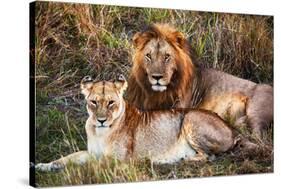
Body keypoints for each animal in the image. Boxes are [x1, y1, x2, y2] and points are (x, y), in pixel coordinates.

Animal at [35, 75, 252, 171]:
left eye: (111, 102)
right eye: (94, 102)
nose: (102, 120)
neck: (99, 132)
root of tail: (233, 130)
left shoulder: (119, 160)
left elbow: (89, 165)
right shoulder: (90, 152)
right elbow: (67, 158)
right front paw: (43, 165)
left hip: (190, 117)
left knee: (209, 156)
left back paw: (174, 160)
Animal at [127, 23, 272, 137]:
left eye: (167, 56)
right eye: (148, 56)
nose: (157, 77)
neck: (155, 93)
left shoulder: (179, 107)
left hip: (257, 107)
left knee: (257, 136)